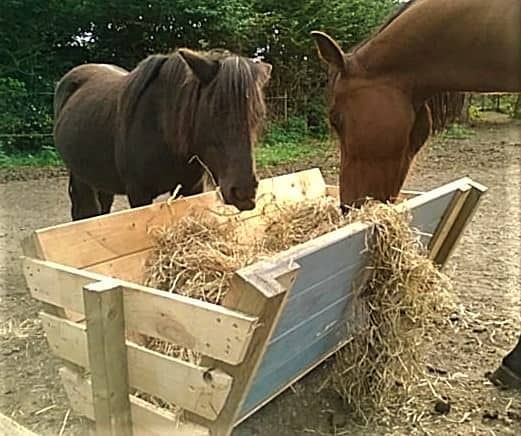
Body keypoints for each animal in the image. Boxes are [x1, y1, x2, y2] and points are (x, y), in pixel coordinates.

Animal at [52, 47, 272, 220]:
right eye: (215, 110)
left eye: (259, 115)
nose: (244, 192)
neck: (160, 130)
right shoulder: (138, 193)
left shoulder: (191, 187)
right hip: (81, 177)